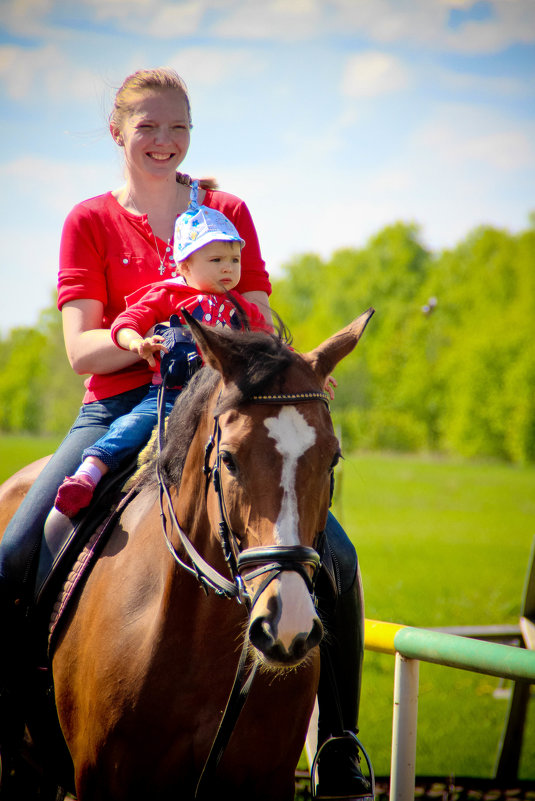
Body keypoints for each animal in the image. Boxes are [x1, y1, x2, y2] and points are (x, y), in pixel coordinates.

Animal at [0, 310, 374, 800]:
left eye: (333, 458)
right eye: (229, 458)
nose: (286, 622)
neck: (200, 638)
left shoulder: (266, 780)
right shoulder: (103, 779)